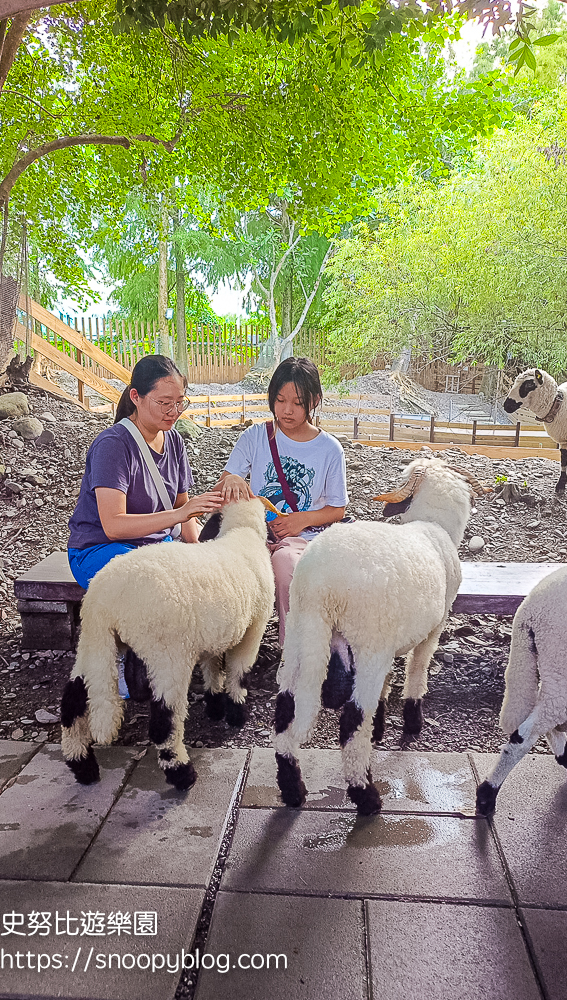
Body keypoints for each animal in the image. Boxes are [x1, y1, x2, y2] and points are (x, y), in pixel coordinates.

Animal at [272, 458, 488, 816]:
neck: (433, 525)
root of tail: (320, 584)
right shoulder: (432, 628)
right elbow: (417, 672)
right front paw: (412, 721)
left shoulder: (391, 638)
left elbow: (388, 683)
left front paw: (379, 727)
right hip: (366, 643)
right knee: (351, 720)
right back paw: (366, 797)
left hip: (302, 637)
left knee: (286, 707)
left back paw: (292, 790)